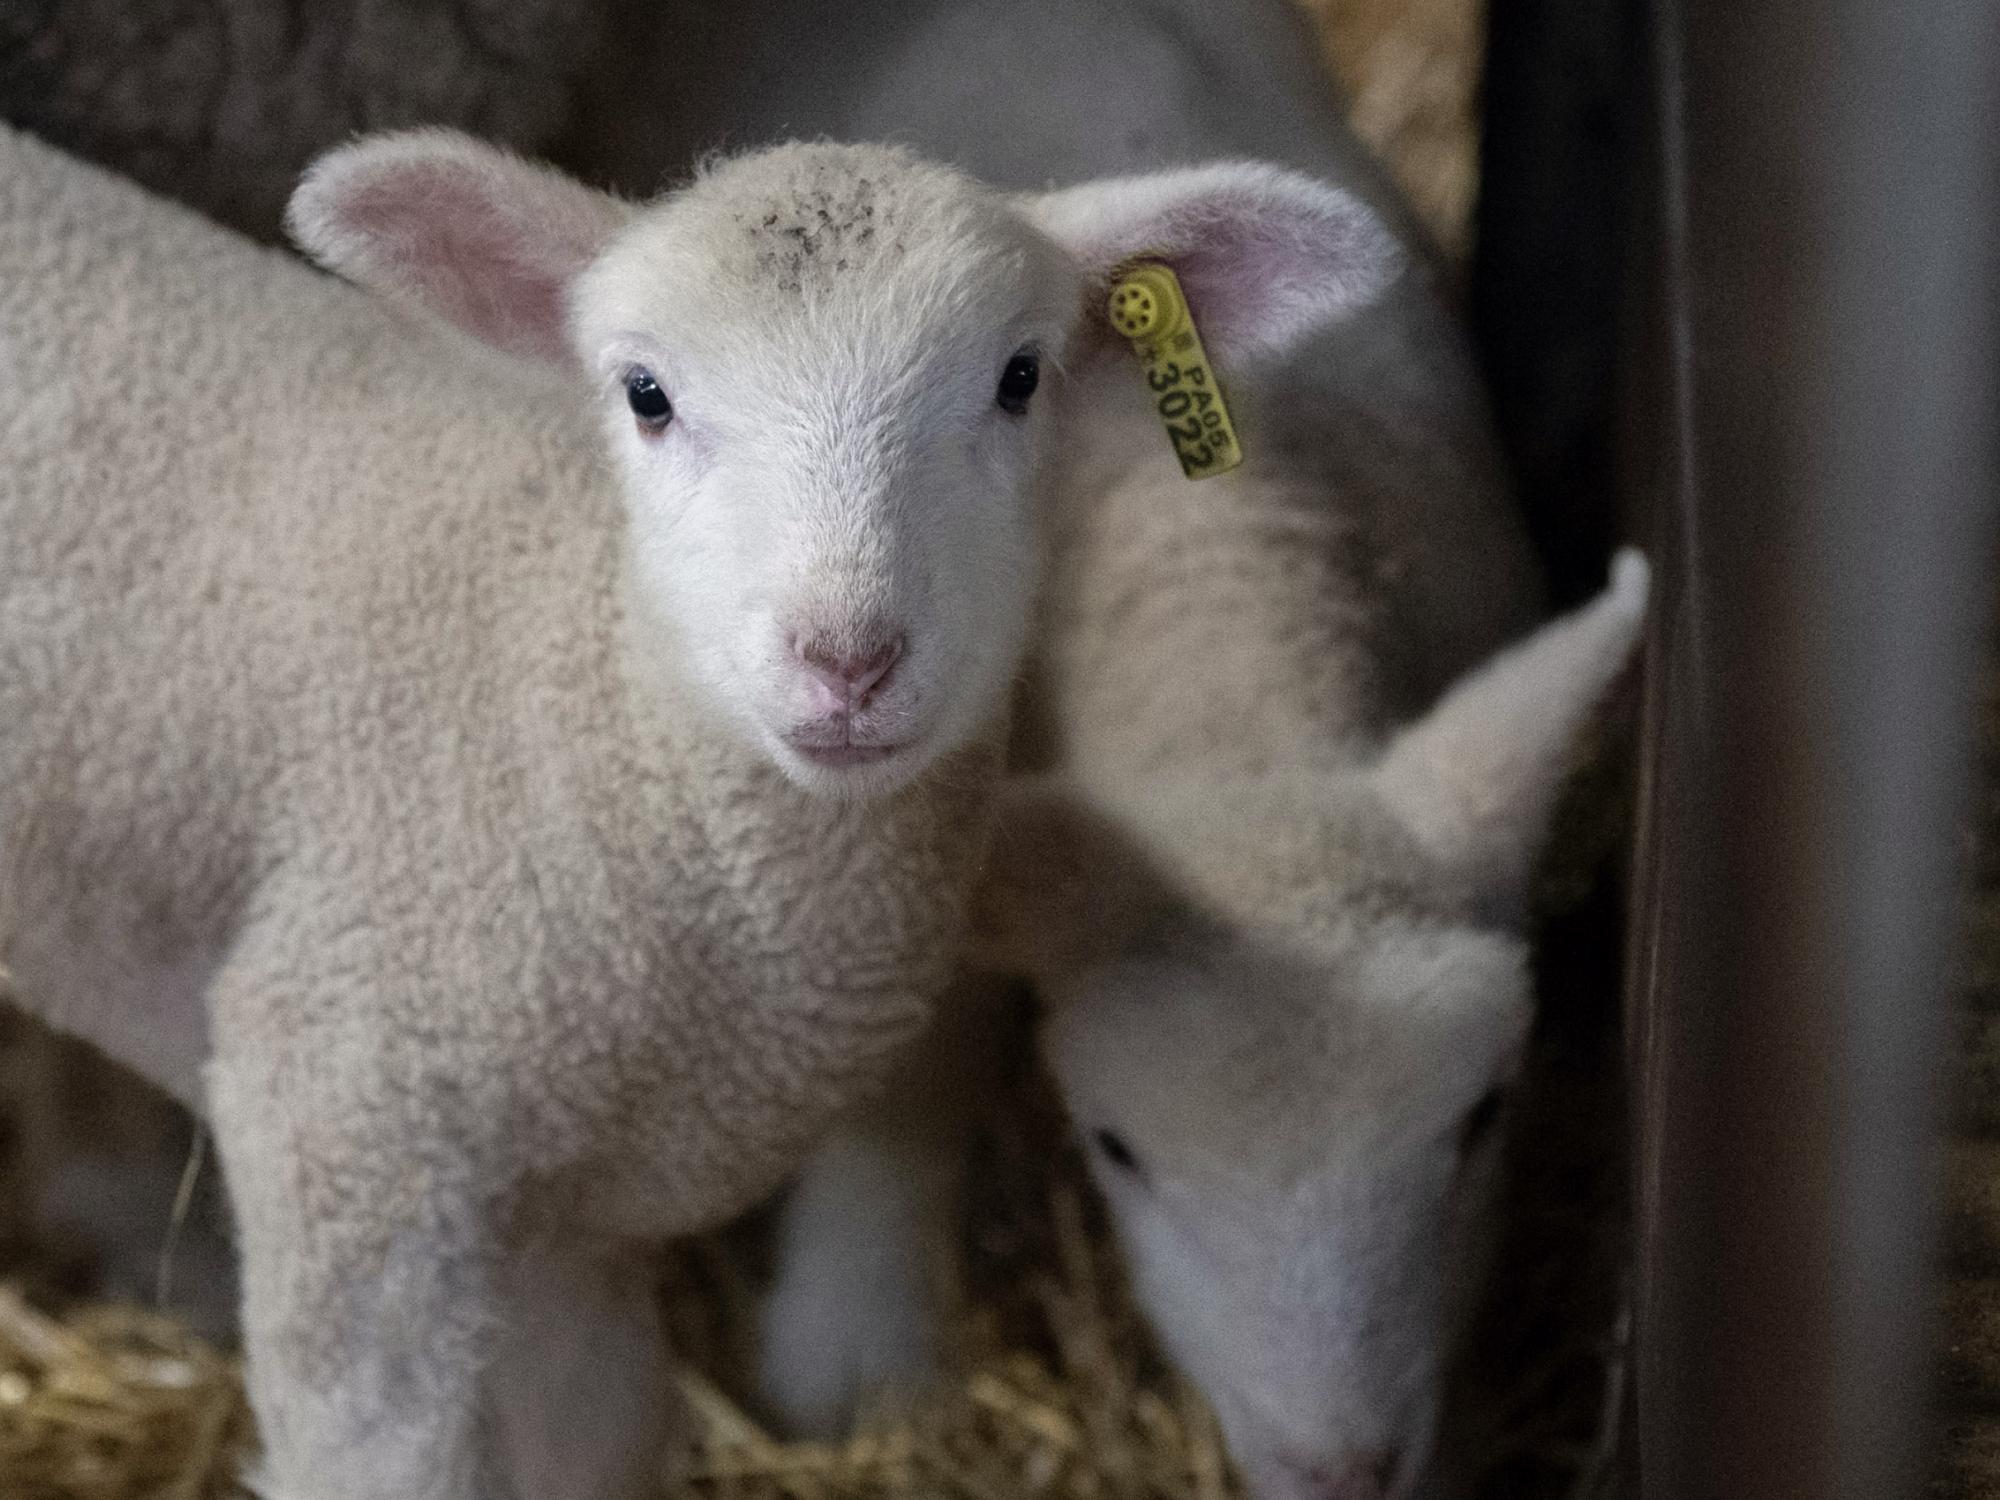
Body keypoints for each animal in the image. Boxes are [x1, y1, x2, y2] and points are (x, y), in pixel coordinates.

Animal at [0, 118, 1397, 1499]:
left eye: (1018, 378)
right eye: (646, 395)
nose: (848, 660)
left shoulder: (565, 1233)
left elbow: (601, 1442)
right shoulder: (348, 1129)